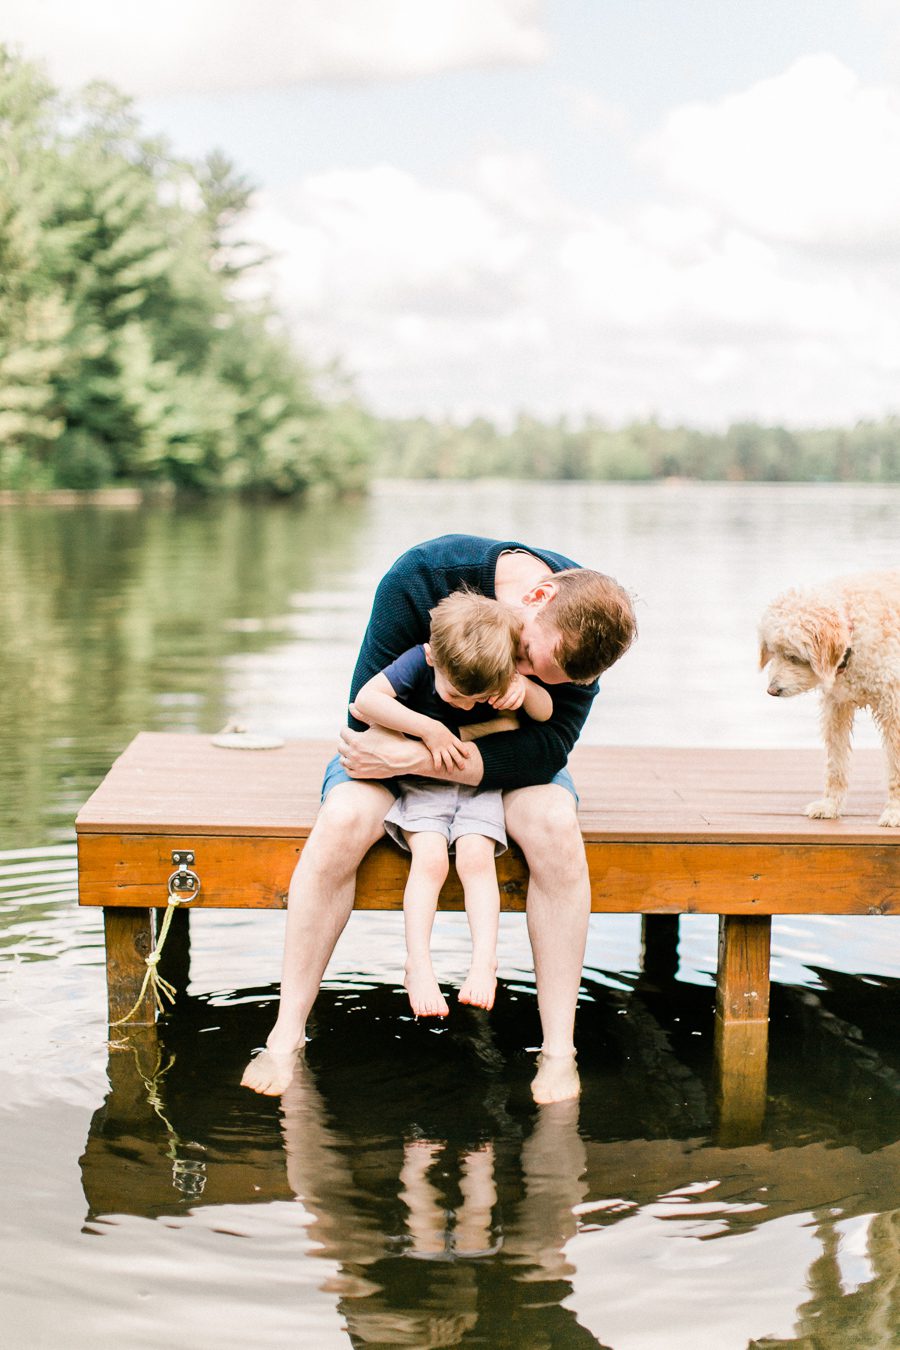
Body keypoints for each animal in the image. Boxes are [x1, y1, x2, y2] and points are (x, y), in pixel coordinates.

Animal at [761, 567, 900, 826]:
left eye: (793, 656)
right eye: (773, 652)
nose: (772, 691)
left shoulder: (894, 710)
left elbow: (896, 766)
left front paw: (895, 812)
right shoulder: (837, 706)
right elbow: (836, 762)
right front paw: (830, 805)